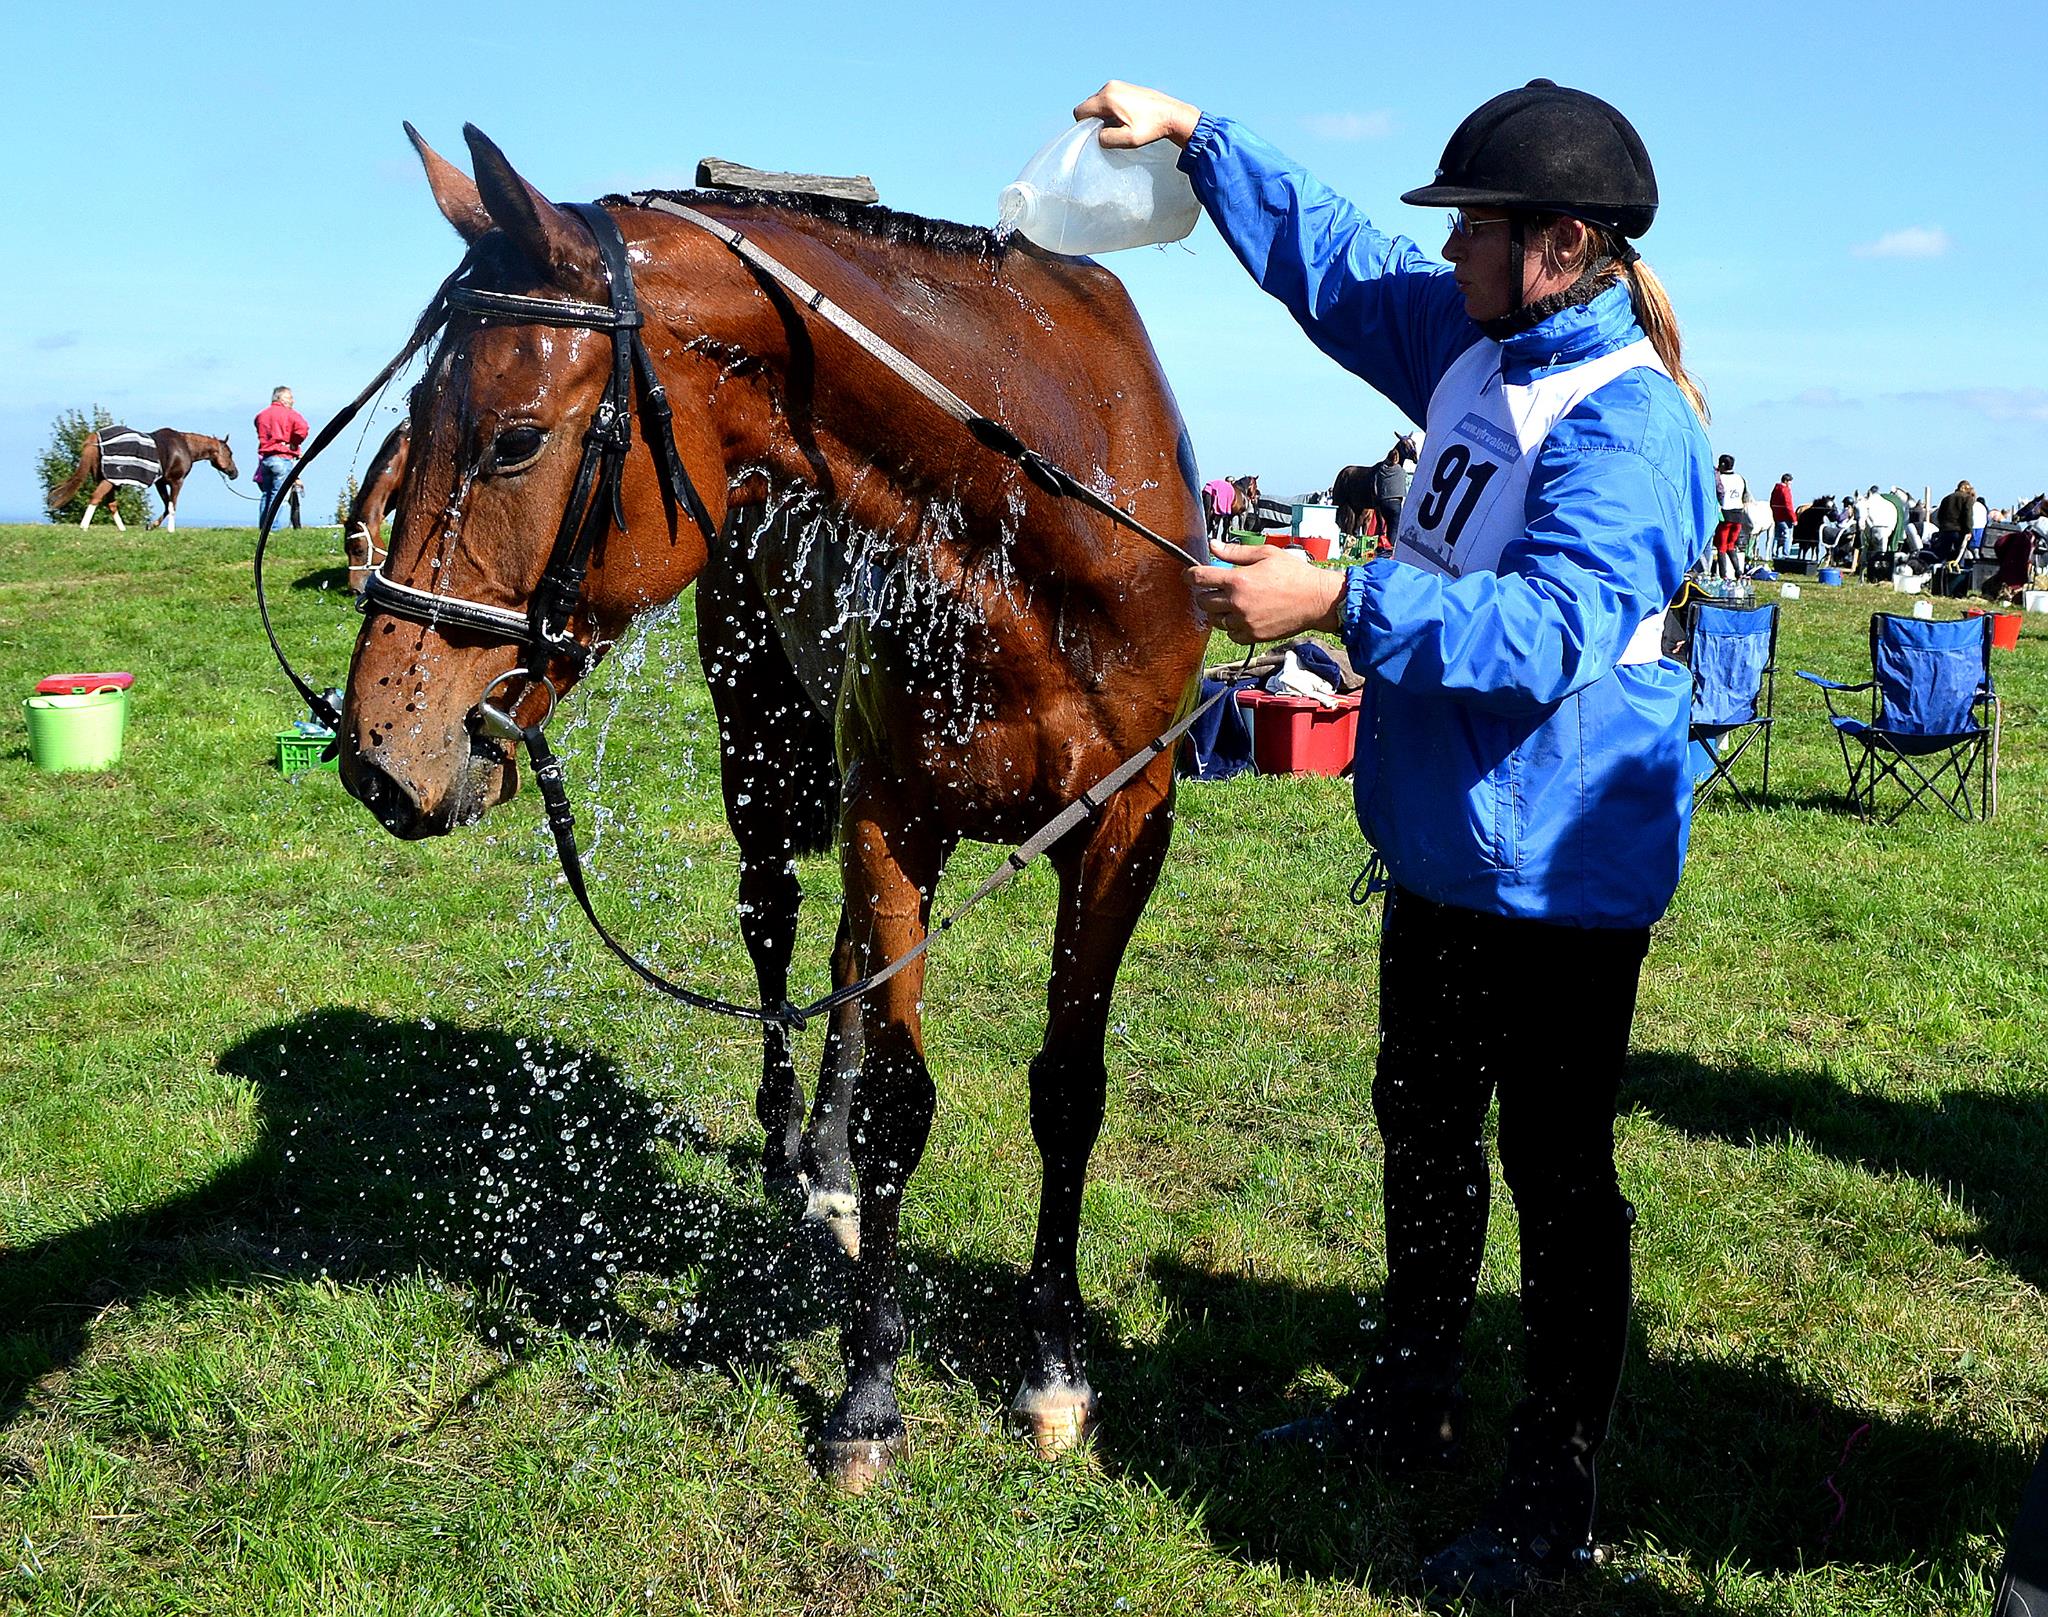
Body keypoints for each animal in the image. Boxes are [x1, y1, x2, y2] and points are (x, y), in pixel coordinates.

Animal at [45, 429, 237, 532]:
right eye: (230, 453)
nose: (235, 473)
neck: (185, 447)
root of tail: (95, 437)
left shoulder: (161, 482)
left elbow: (166, 506)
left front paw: (152, 526)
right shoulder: (176, 481)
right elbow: (172, 505)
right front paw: (171, 530)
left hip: (110, 479)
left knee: (110, 503)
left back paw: (122, 529)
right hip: (110, 479)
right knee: (96, 497)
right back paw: (84, 526)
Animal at [331, 126, 1196, 1498]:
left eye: (515, 440)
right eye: (410, 424)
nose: (378, 748)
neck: (1038, 526)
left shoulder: (1123, 830)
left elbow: (1065, 1088)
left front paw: (1053, 1361)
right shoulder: (896, 816)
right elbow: (899, 1103)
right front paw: (870, 1389)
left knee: (839, 960)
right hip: (771, 766)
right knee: (782, 938)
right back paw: (804, 1155)